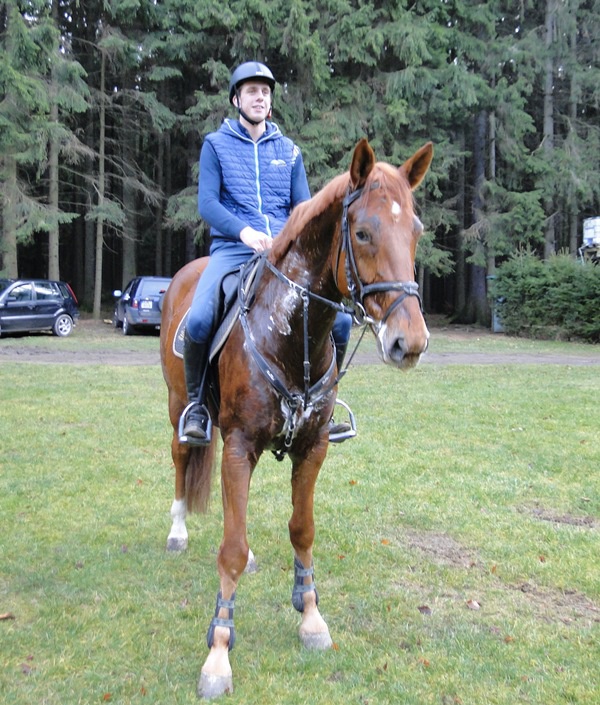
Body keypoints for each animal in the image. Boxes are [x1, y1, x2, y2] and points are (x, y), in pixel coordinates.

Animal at [159, 137, 433, 699]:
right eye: (363, 232)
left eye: (415, 231)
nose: (410, 342)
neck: (290, 333)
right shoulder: (239, 445)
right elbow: (230, 549)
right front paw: (218, 653)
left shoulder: (313, 447)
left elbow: (301, 530)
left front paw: (310, 617)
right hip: (179, 404)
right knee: (181, 456)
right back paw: (176, 530)